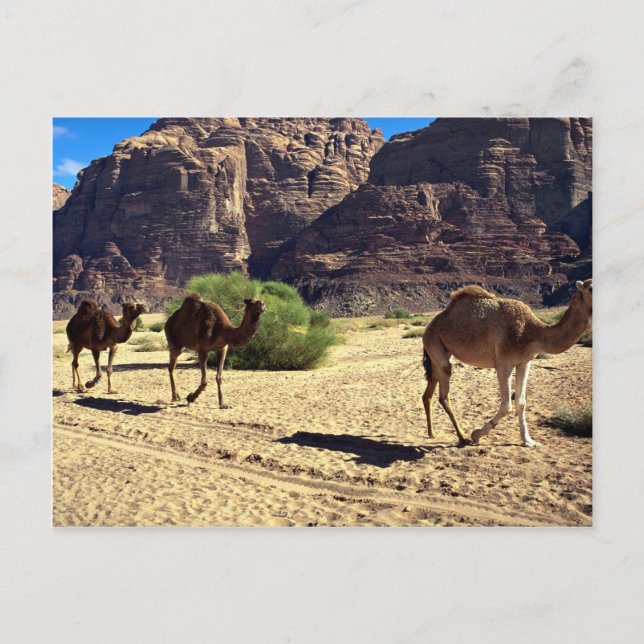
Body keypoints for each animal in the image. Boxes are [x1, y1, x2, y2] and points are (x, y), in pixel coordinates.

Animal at [422, 279, 592, 448]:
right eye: (590, 288)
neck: (532, 331)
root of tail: (428, 328)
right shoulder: (504, 364)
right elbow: (506, 406)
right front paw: (476, 434)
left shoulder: (525, 362)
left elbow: (521, 401)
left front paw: (528, 441)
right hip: (435, 344)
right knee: (444, 395)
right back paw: (462, 437)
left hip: (440, 355)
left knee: (428, 393)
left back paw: (432, 433)